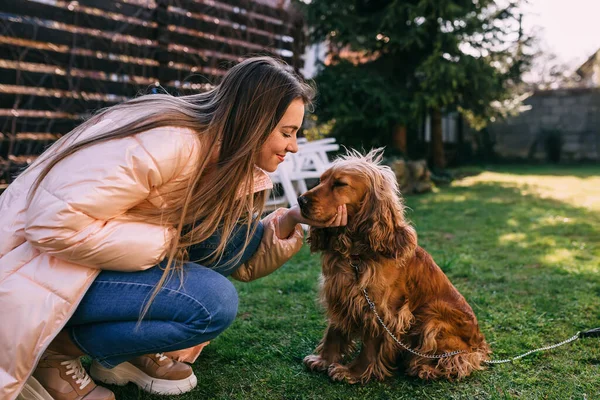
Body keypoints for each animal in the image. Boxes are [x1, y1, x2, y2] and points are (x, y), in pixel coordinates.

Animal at [302, 148, 490, 382]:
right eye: (320, 180)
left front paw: (354, 372)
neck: (355, 254)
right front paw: (323, 360)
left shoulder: (380, 308)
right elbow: (334, 332)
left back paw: (425, 368)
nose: (300, 200)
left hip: (432, 319)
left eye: (340, 184)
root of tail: (479, 343)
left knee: (460, 359)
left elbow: (370, 345)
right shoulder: (341, 292)